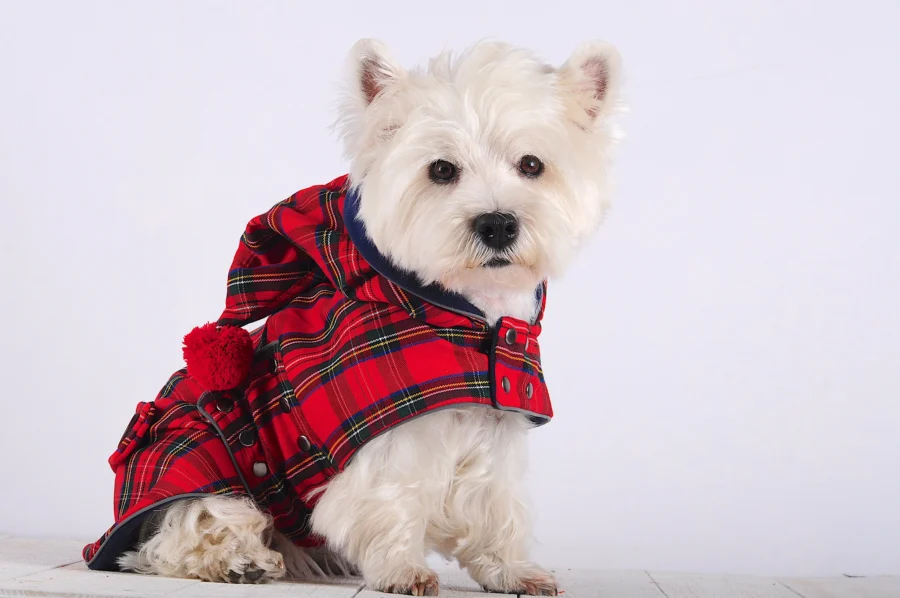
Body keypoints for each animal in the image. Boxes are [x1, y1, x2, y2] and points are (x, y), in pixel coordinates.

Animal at [112, 39, 624, 596]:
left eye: (532, 164)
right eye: (441, 170)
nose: (497, 224)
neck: (464, 317)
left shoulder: (495, 423)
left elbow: (495, 504)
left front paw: (511, 570)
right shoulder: (388, 439)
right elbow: (390, 499)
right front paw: (403, 571)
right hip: (201, 459)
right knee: (186, 526)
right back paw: (237, 559)